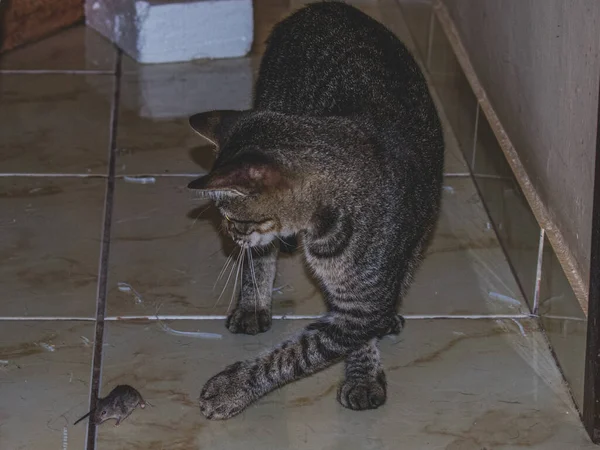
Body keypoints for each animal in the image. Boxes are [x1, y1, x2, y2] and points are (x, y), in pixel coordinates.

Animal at [188, 1, 446, 420]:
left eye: (231, 218)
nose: (232, 238)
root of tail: (321, 6)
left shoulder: (364, 300)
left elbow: (295, 353)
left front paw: (233, 387)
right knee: (263, 256)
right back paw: (253, 304)